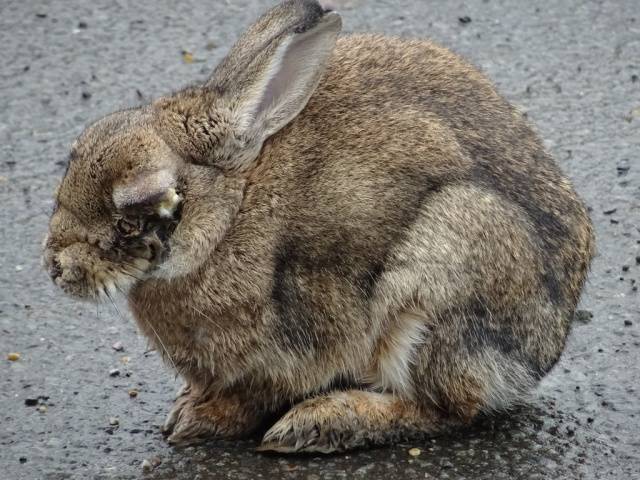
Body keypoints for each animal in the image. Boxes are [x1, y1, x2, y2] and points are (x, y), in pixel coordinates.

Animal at [43, 0, 596, 454]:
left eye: (141, 208)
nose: (56, 268)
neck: (232, 210)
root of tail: (543, 350)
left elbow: (257, 393)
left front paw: (203, 419)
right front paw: (188, 412)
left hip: (443, 275)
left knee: (450, 408)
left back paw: (324, 422)